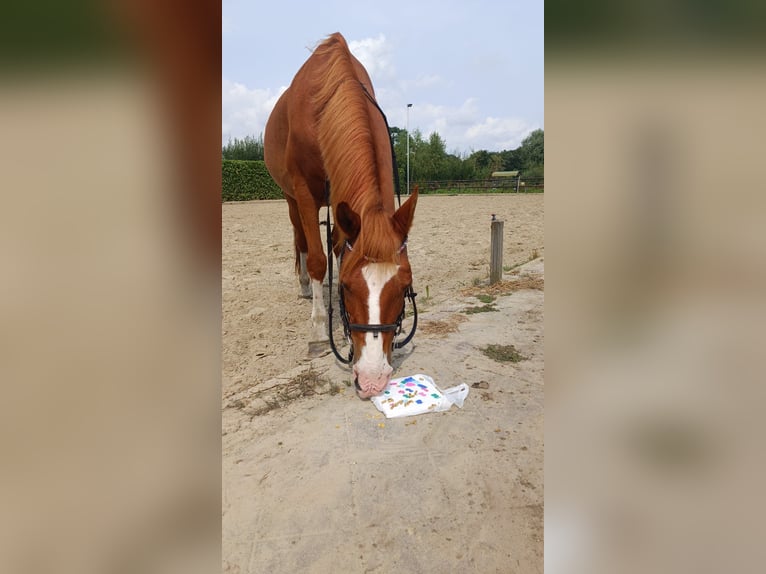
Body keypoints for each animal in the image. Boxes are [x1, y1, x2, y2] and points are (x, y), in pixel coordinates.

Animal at [264, 32, 420, 400]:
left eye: (404, 285)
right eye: (348, 286)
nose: (373, 378)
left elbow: (338, 247)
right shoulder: (304, 192)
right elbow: (318, 259)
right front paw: (319, 333)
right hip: (291, 198)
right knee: (301, 239)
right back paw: (306, 288)